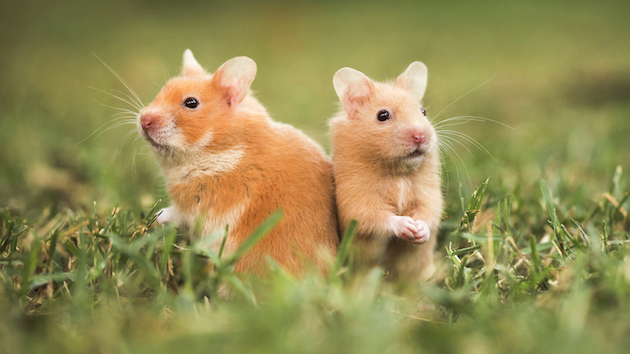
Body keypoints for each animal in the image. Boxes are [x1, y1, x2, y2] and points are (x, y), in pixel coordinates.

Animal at [140, 49, 340, 280]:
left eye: (191, 103)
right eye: (163, 90)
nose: (143, 120)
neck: (222, 149)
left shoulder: (198, 206)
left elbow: (176, 213)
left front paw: (156, 216)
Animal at [330, 61, 444, 282]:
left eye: (423, 111)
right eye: (382, 115)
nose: (421, 136)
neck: (397, 172)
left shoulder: (428, 194)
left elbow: (429, 213)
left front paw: (419, 230)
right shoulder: (358, 201)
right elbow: (377, 218)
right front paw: (407, 226)